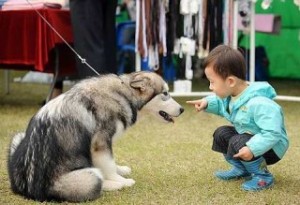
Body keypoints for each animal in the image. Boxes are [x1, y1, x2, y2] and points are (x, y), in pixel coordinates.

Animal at [7, 71, 184, 202]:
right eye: (165, 93)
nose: (182, 109)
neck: (124, 95)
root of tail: (30, 189)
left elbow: (112, 163)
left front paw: (121, 170)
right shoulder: (100, 143)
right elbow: (109, 165)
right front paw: (120, 180)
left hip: (18, 137)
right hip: (89, 177)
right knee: (98, 182)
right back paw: (117, 185)